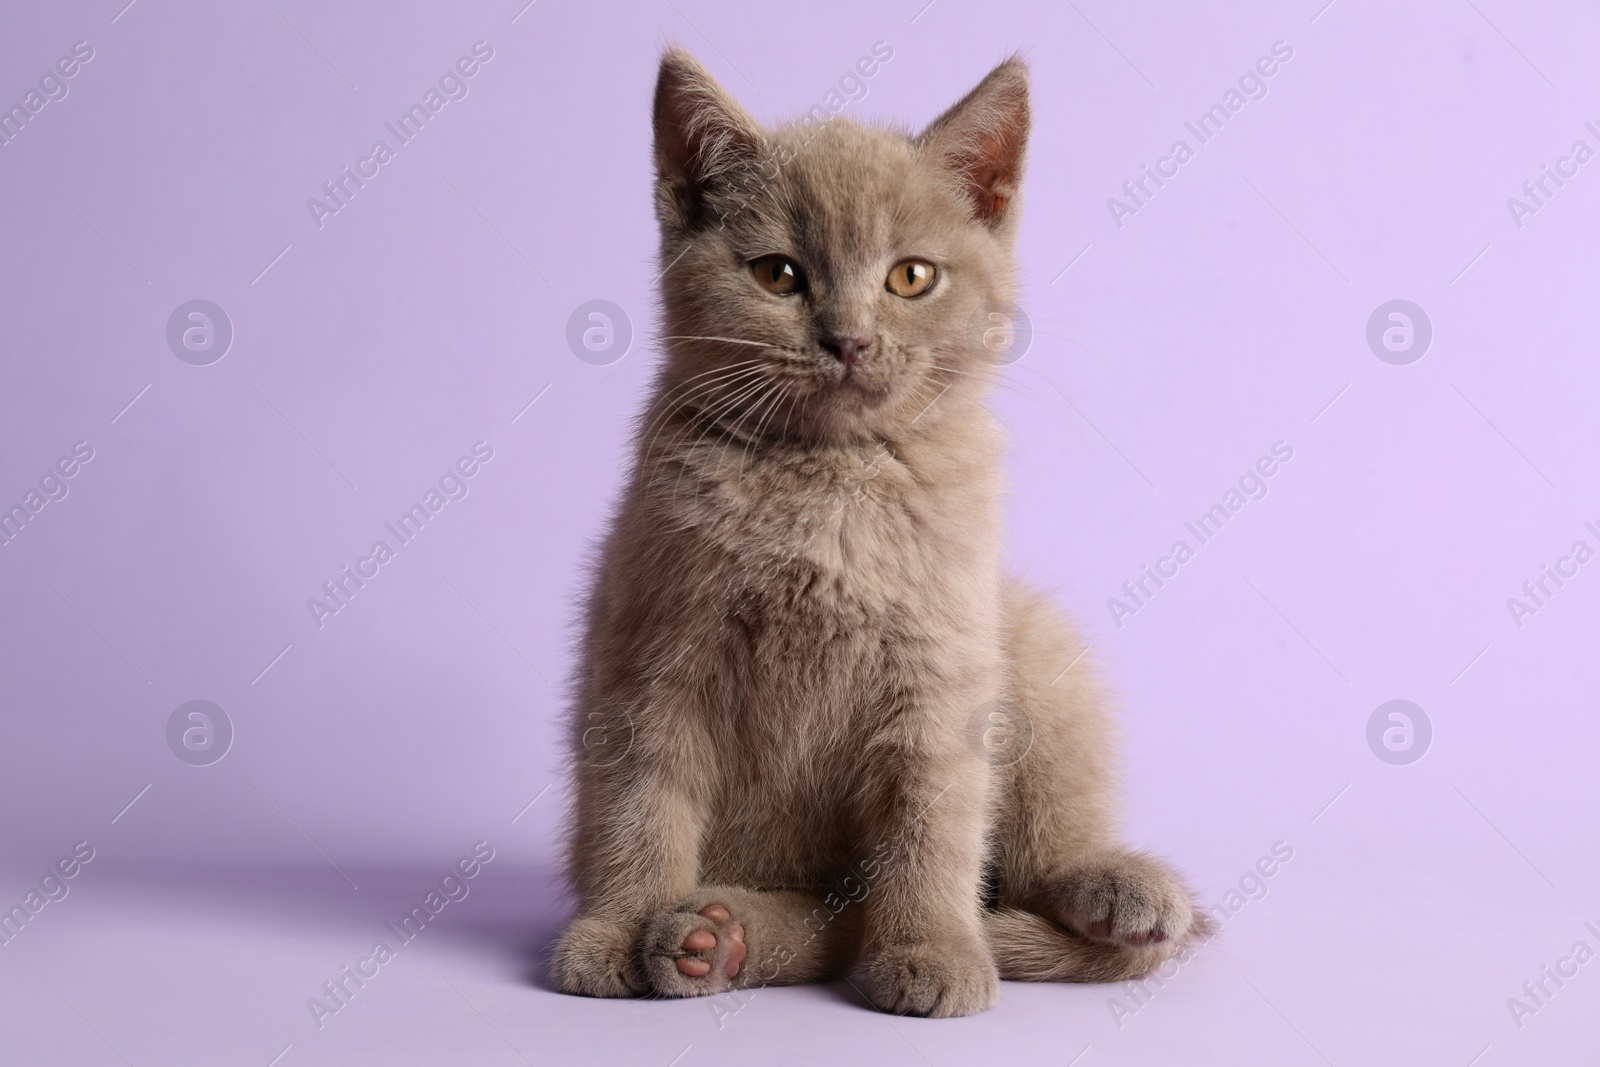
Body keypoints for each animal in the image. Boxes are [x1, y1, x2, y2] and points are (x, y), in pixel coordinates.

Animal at [550, 47, 1203, 1017]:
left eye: (911, 277)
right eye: (779, 275)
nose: (849, 339)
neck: (829, 477)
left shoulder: (939, 676)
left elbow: (931, 825)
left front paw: (933, 948)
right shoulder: (645, 660)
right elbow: (638, 806)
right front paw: (611, 930)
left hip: (1031, 635)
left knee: (1023, 853)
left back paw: (1115, 887)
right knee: (831, 919)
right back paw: (711, 937)